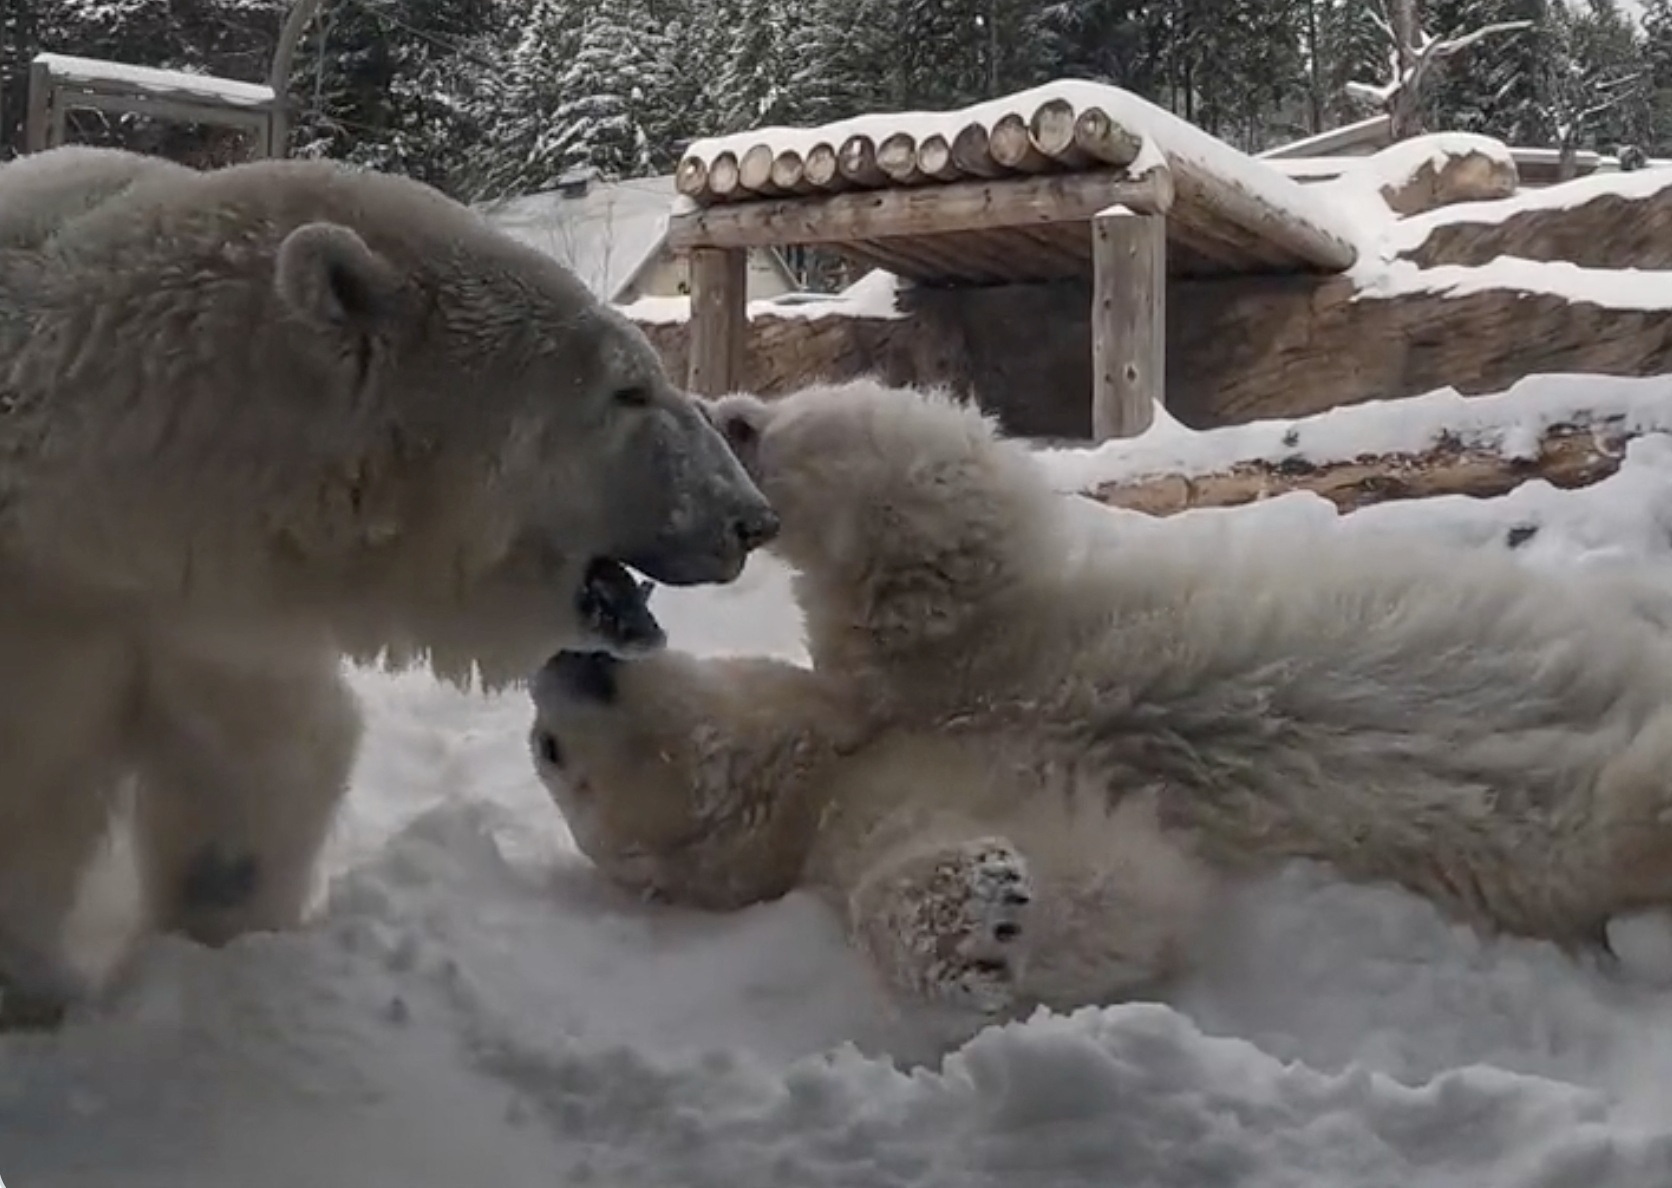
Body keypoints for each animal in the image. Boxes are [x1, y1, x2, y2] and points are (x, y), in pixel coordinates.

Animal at [0, 148, 775, 1022]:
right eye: (628, 389)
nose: (749, 518)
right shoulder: (58, 614)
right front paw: (40, 993)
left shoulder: (214, 619)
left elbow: (256, 769)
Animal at [528, 379, 1672, 1022]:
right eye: (549, 756)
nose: (554, 669)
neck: (830, 764)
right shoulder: (889, 802)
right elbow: (1117, 893)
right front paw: (980, 914)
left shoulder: (958, 660)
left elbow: (936, 530)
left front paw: (737, 428)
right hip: (1542, 834)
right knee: (1611, 818)